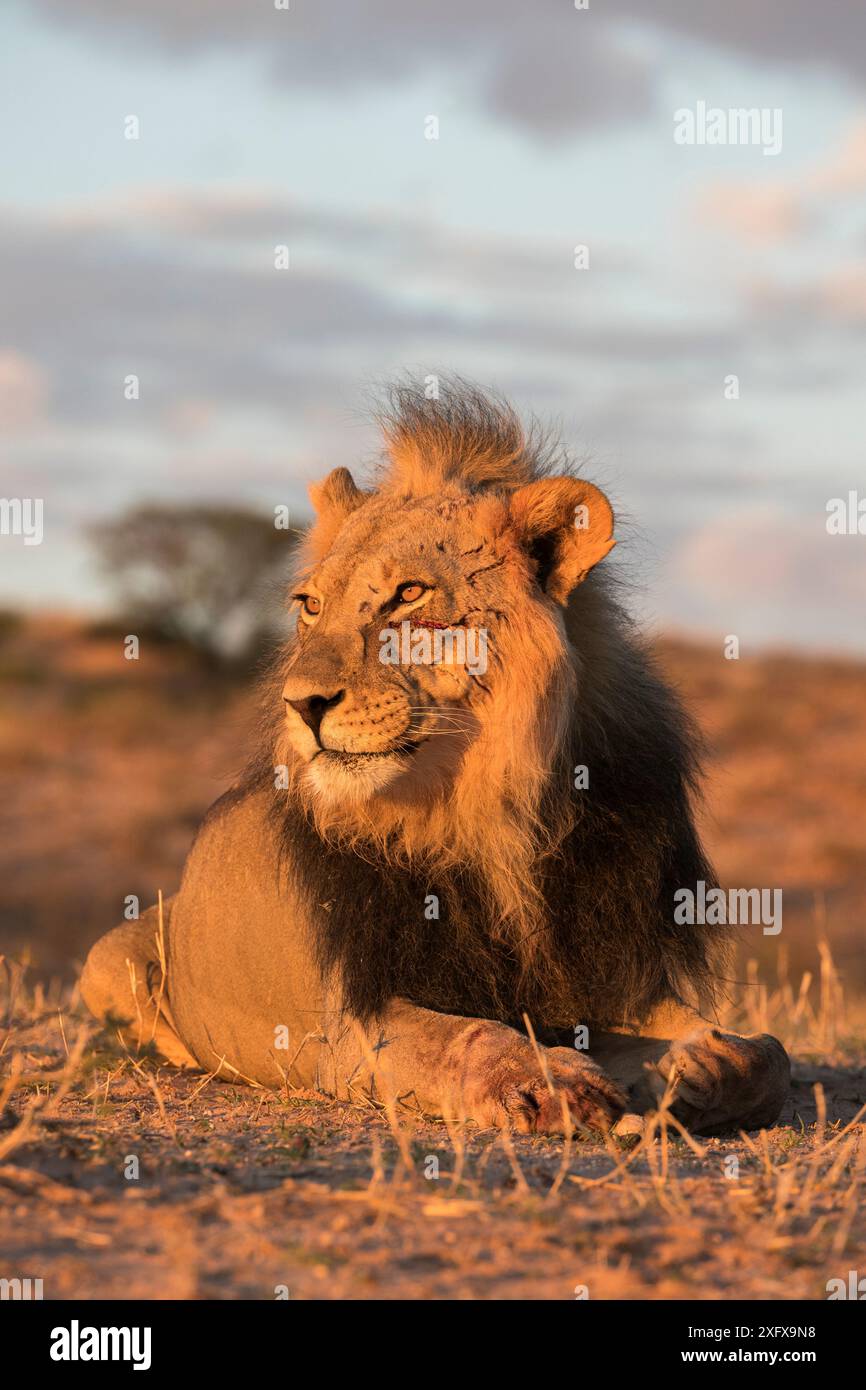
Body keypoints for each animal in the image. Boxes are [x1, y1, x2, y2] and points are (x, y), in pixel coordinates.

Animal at [81, 382, 790, 1135]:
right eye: (310, 606)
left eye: (409, 594)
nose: (299, 703)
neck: (491, 808)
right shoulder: (350, 1027)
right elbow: (467, 1035)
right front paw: (549, 1082)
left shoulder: (607, 976)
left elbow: (765, 1052)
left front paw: (692, 1073)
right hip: (110, 956)